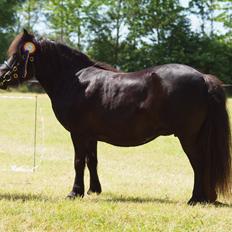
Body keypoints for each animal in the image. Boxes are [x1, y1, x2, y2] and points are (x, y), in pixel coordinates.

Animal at [0, 29, 230, 205]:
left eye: (19, 56)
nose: (1, 76)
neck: (74, 81)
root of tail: (202, 77)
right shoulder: (90, 135)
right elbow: (92, 161)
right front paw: (93, 190)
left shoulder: (78, 133)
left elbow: (78, 162)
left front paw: (75, 192)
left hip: (188, 136)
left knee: (199, 163)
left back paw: (195, 199)